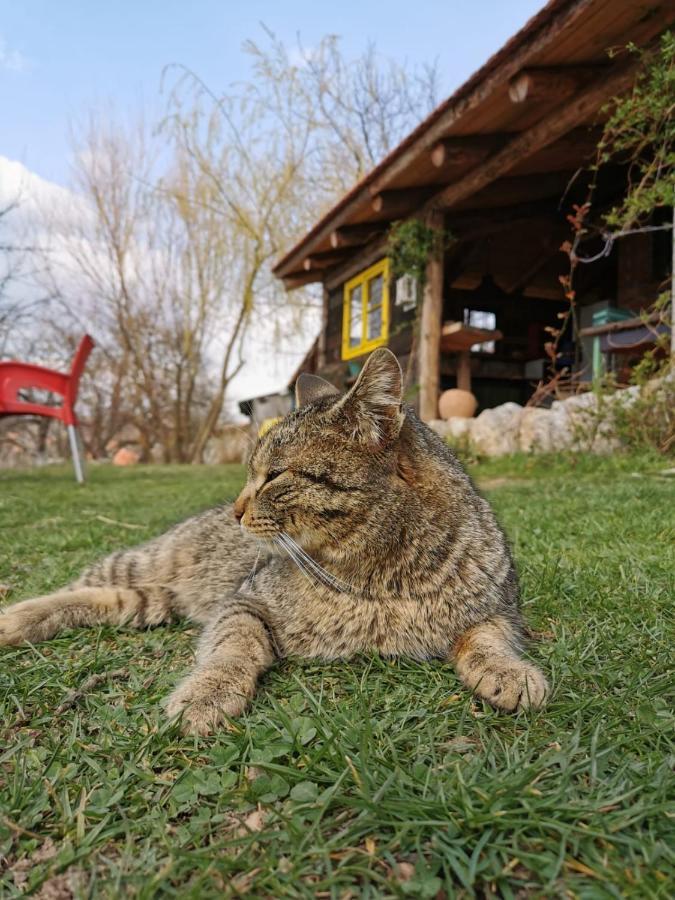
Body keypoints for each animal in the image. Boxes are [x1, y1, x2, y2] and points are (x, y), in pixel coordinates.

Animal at [0, 348, 548, 736]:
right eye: (251, 472)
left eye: (275, 475)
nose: (236, 508)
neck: (384, 575)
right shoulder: (244, 601)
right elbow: (232, 647)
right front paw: (207, 693)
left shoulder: (500, 607)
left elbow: (489, 638)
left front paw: (511, 672)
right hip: (144, 563)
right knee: (75, 584)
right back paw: (14, 618)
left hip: (151, 600)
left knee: (102, 599)